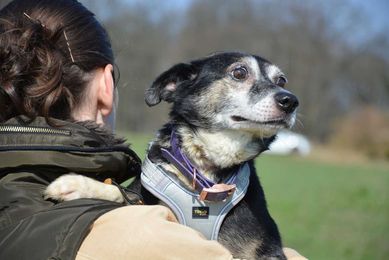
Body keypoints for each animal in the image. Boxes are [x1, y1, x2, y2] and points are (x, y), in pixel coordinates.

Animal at [46, 51, 300, 258]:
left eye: (281, 80)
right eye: (239, 72)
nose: (290, 100)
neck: (206, 173)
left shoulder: (266, 251)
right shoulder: (146, 200)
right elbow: (123, 193)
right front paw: (76, 184)